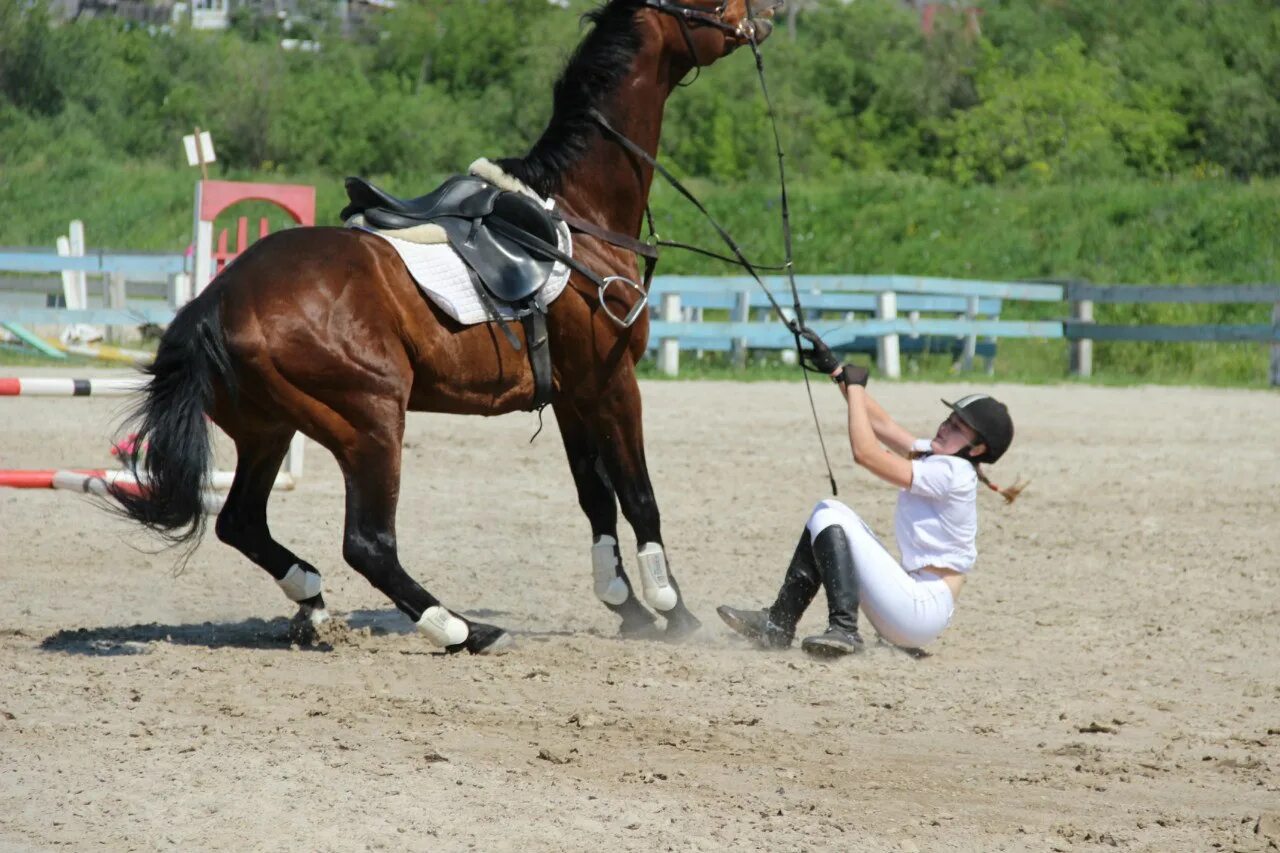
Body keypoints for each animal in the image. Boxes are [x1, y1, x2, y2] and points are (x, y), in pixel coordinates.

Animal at [115, 0, 773, 650]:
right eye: (712, 2)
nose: (764, 15)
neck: (581, 215)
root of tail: (215, 302)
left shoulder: (573, 395)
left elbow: (596, 500)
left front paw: (627, 606)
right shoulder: (613, 385)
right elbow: (639, 498)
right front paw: (673, 612)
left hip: (269, 429)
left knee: (242, 523)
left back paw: (314, 601)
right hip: (372, 420)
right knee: (368, 544)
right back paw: (461, 628)